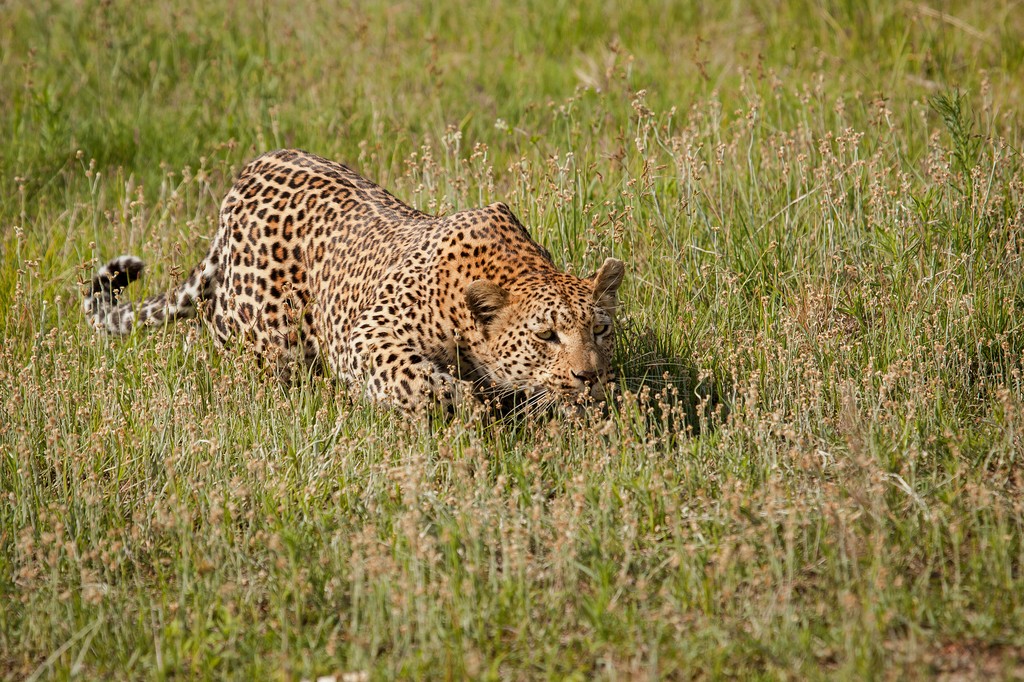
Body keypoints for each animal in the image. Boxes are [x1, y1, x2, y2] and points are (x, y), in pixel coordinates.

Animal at [83, 149, 625, 413]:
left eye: (600, 330)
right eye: (546, 336)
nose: (590, 376)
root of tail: (244, 176)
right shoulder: (367, 335)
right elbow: (419, 379)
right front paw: (472, 406)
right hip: (268, 334)